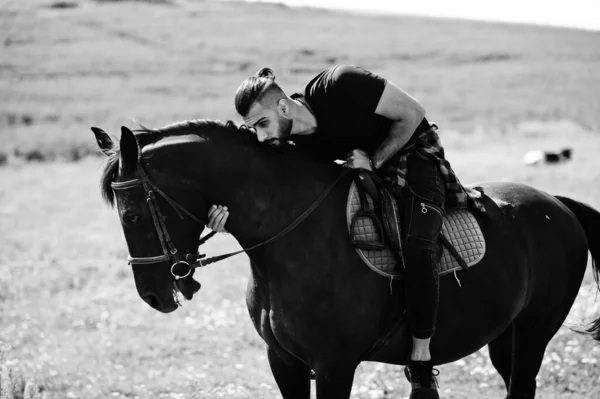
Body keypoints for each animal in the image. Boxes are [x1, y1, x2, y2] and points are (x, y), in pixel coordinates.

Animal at [91, 121, 600, 399]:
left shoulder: (335, 366)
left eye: (132, 214)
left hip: (534, 334)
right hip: (504, 339)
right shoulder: (285, 362)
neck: (291, 239)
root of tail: (556, 203)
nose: (152, 295)